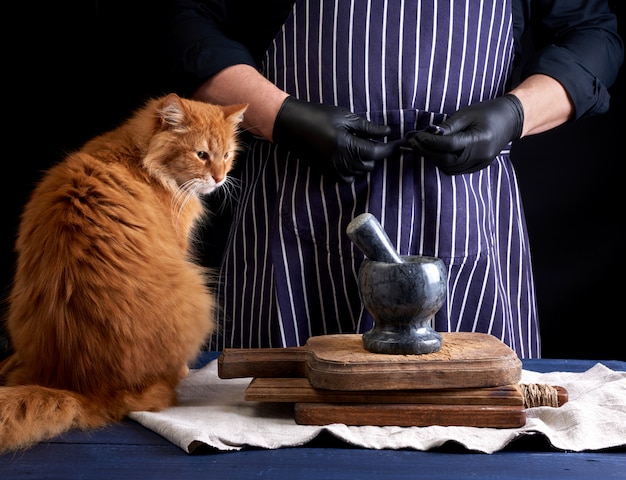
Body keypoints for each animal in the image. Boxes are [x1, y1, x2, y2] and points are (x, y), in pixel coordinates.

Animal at [0, 92, 249, 452]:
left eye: (227, 155)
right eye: (201, 154)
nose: (219, 177)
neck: (137, 157)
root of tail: (87, 389)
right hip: (198, 296)